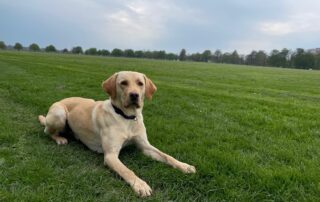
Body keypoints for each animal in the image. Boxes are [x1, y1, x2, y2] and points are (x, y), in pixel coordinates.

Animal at [38, 71, 196, 197]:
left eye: (140, 83)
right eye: (123, 83)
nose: (134, 95)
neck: (127, 118)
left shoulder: (145, 146)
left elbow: (167, 156)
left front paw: (185, 166)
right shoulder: (110, 156)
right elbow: (127, 171)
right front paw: (140, 185)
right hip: (59, 114)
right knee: (47, 131)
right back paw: (59, 138)